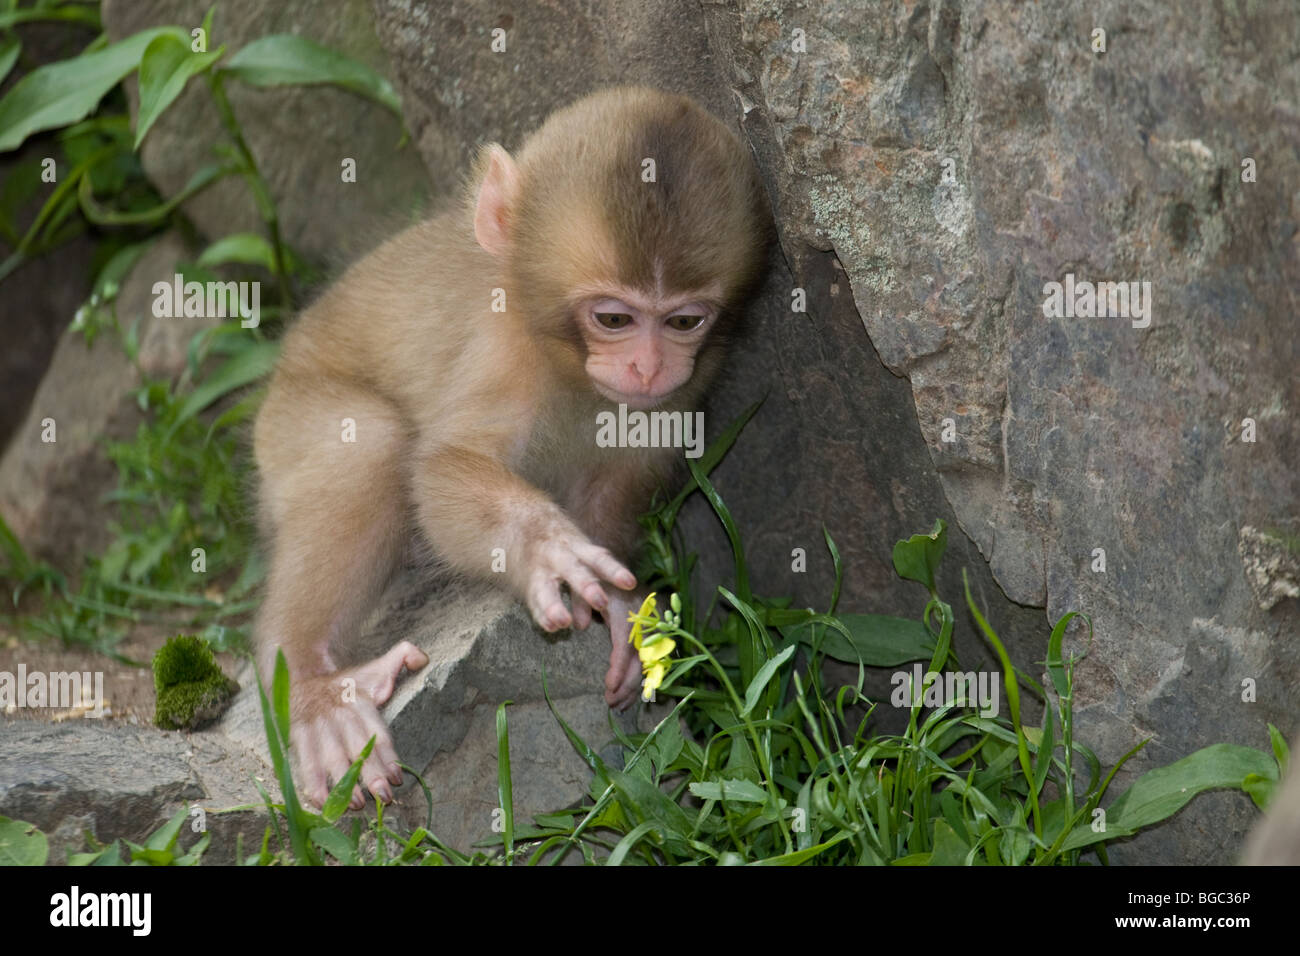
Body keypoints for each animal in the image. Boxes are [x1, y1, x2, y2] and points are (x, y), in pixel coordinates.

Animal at [252, 86, 770, 810]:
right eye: (614, 318)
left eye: (685, 320)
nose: (646, 367)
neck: (568, 366)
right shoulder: (503, 347)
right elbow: (446, 469)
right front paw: (545, 548)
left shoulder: (684, 386)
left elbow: (628, 471)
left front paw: (614, 605)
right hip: (286, 419)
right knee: (369, 444)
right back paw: (311, 685)